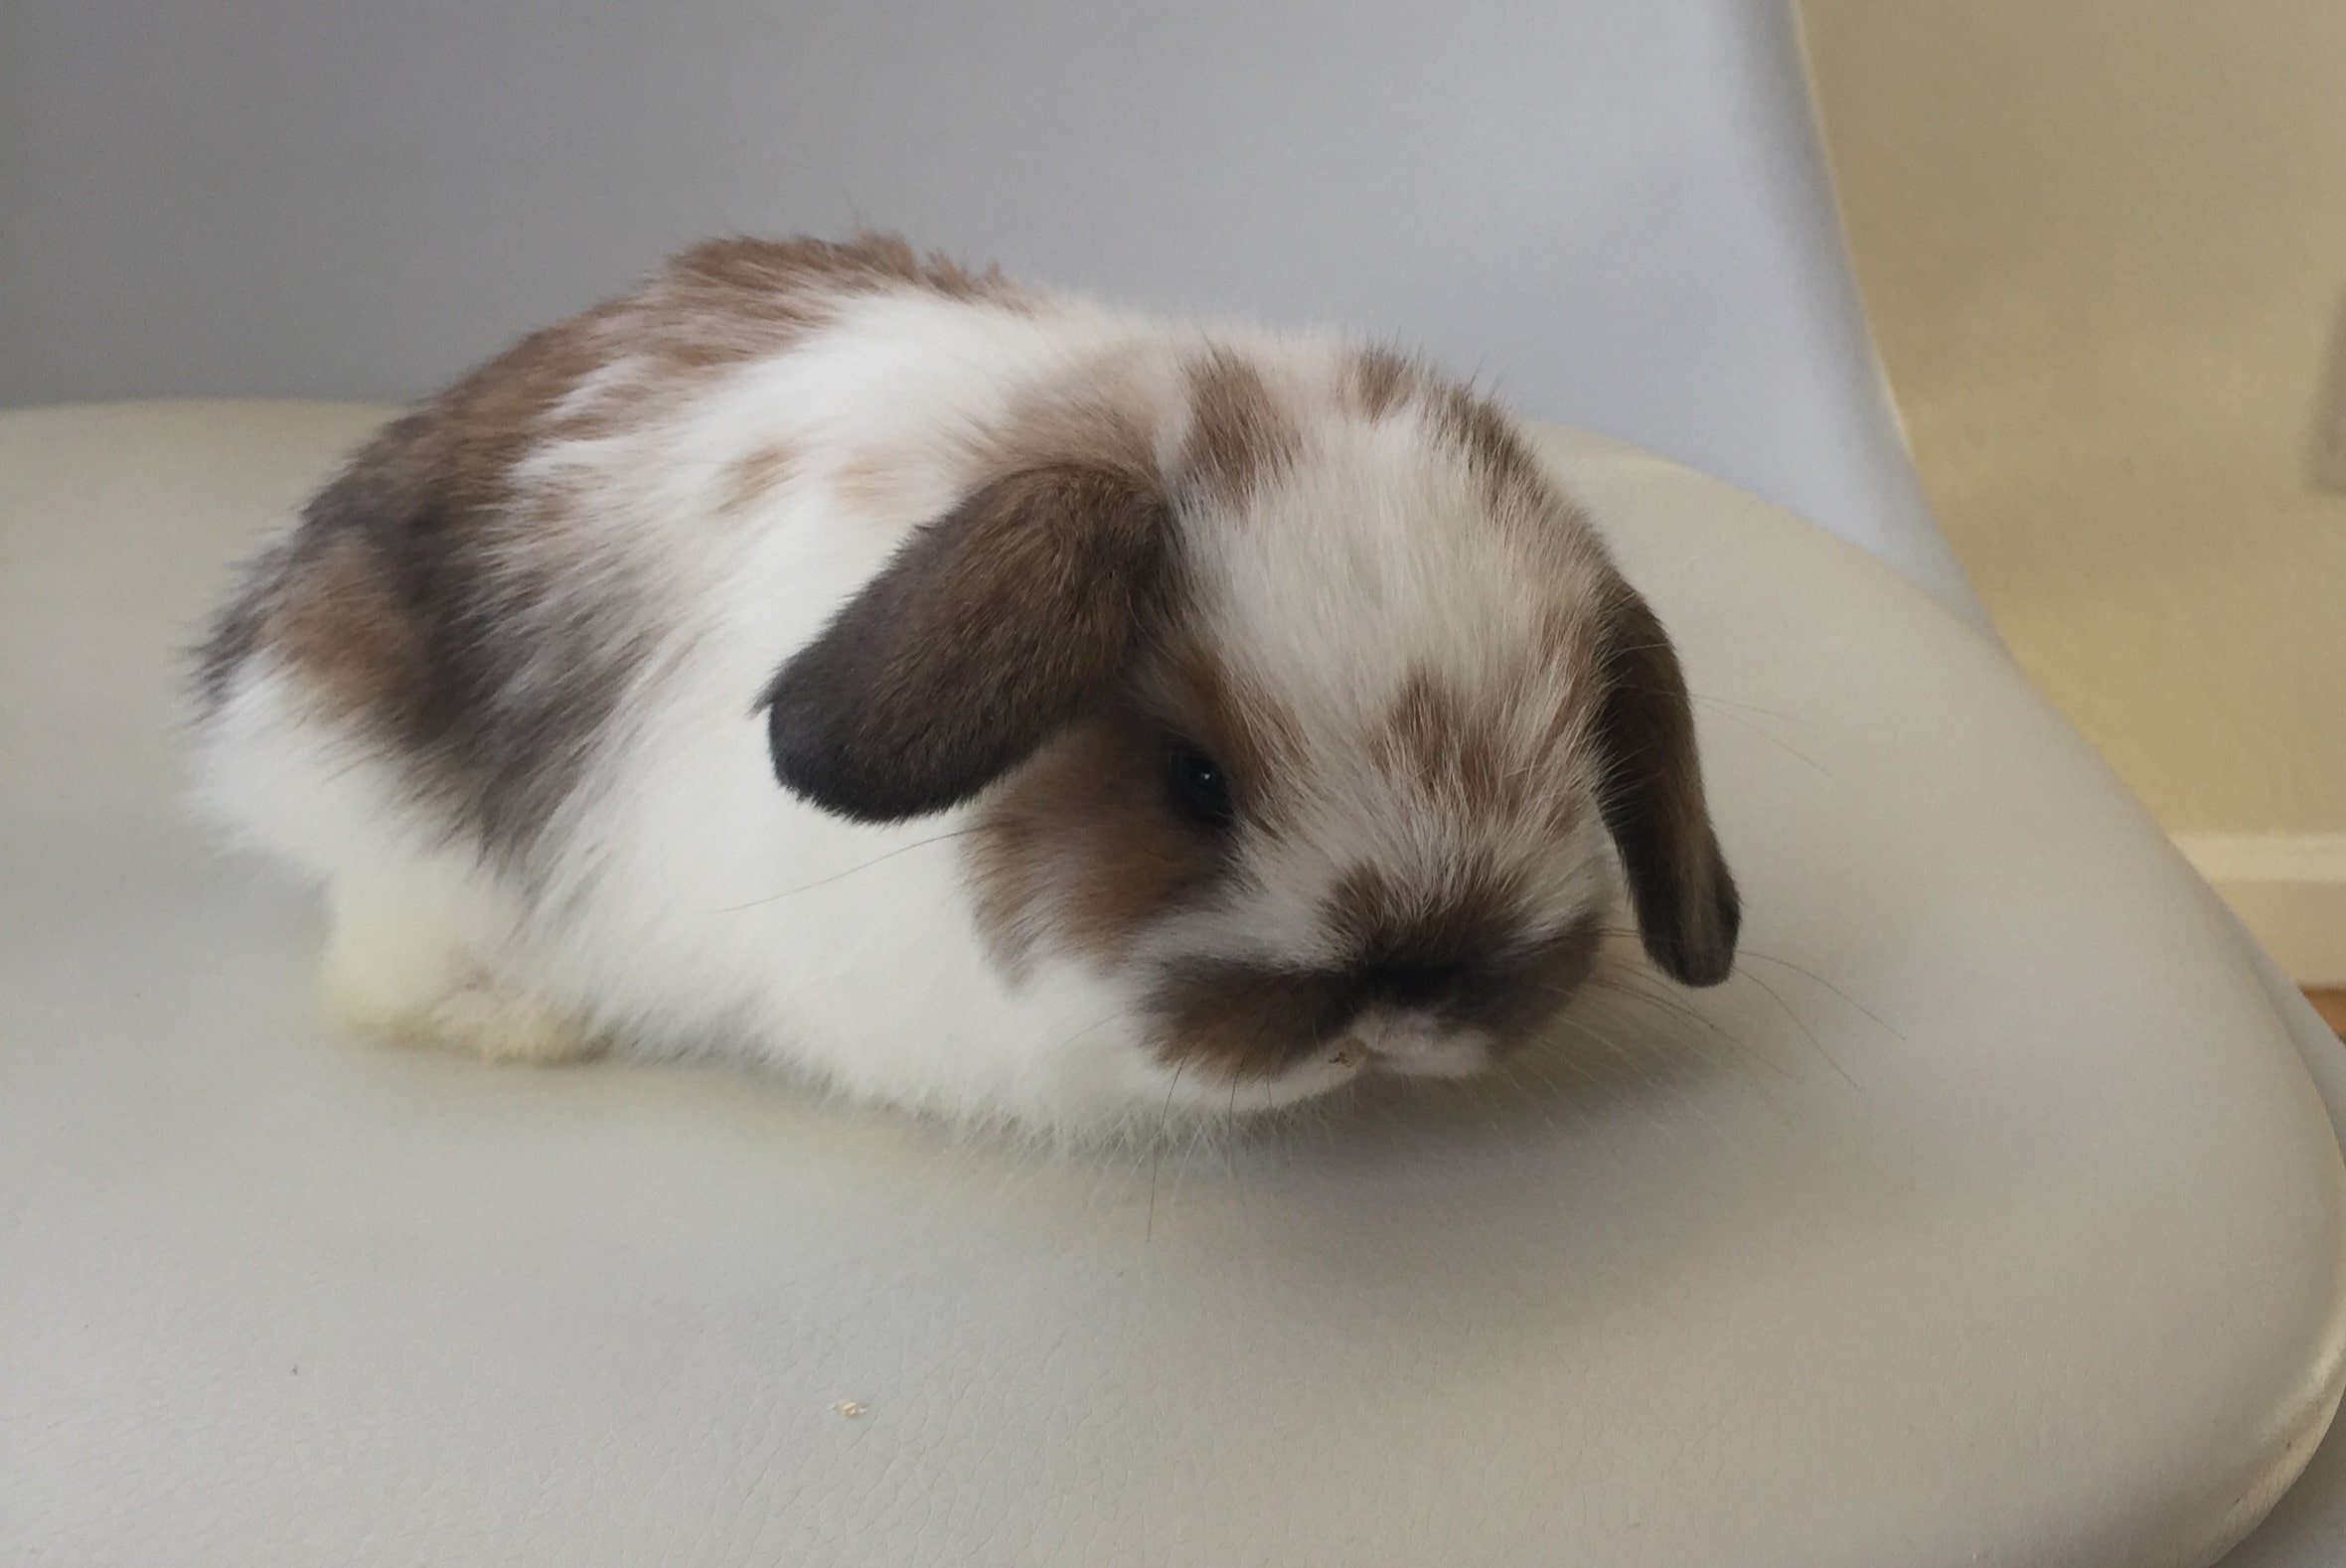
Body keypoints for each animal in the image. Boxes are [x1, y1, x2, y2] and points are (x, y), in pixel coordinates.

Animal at [191, 233, 1739, 1139]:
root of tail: (257, 640)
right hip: (402, 829)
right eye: (1195, 782)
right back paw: (530, 1025)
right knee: (374, 973)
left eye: (1574, 768)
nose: (1406, 994)